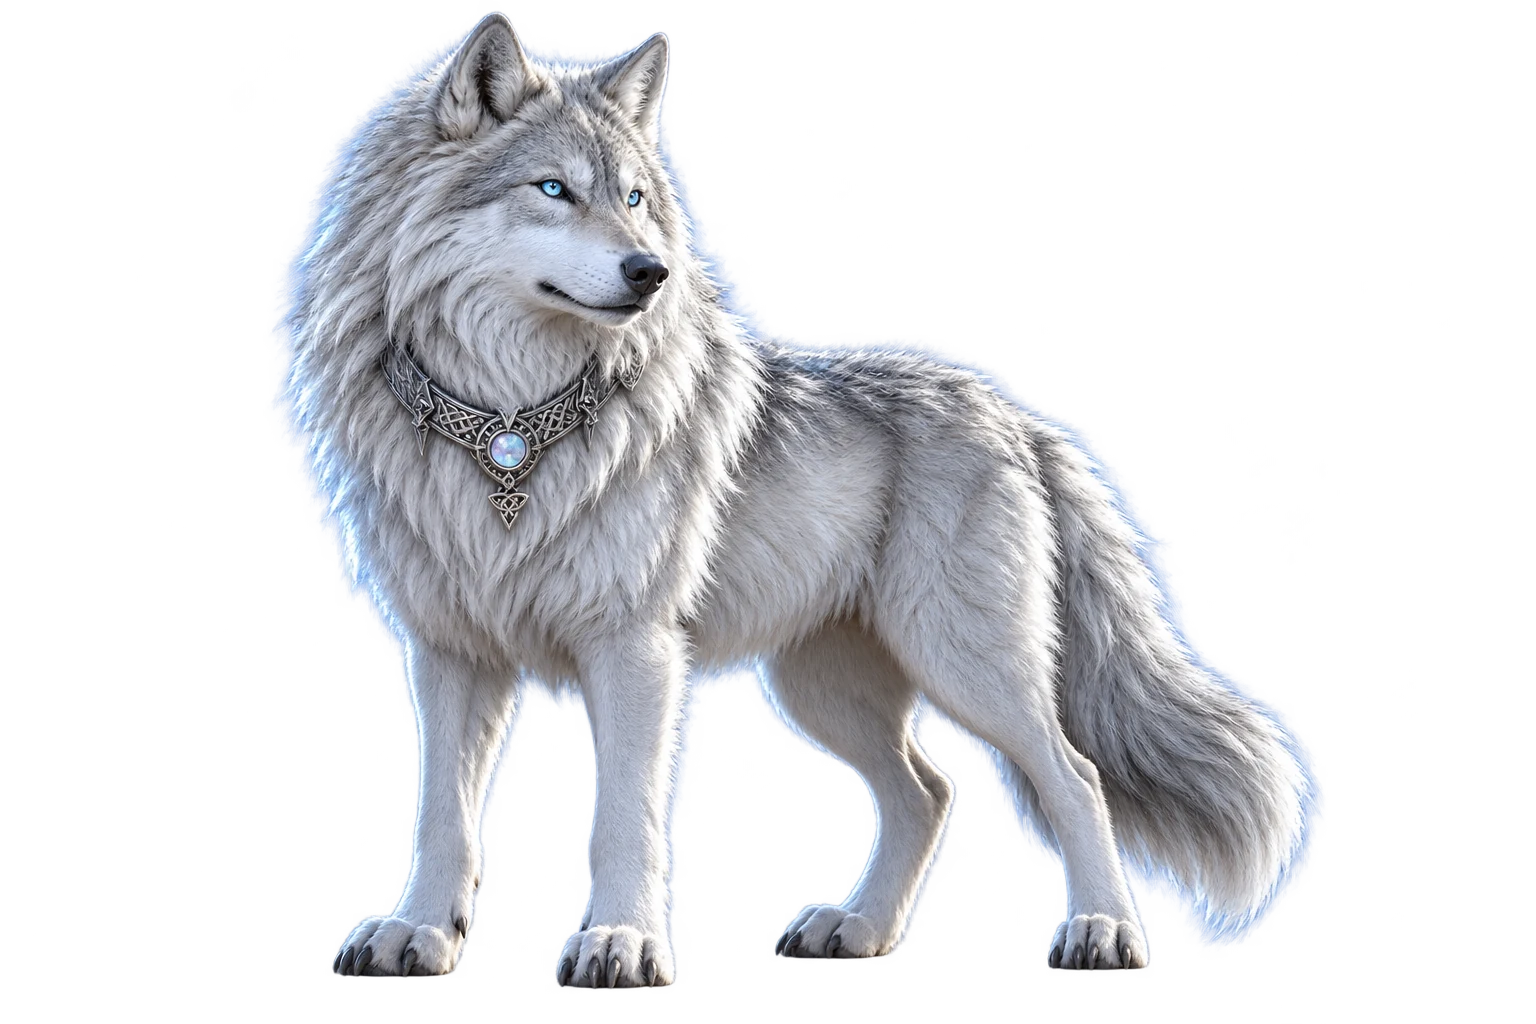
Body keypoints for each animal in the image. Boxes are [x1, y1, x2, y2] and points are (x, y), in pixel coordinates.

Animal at [289, 13, 1311, 987]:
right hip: (825, 691)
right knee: (929, 792)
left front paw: (621, 943)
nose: (651, 272)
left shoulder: (634, 650)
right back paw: (856, 928)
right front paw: (419, 931)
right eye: (553, 190)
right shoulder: (449, 651)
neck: (506, 425)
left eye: (634, 199)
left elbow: (626, 816)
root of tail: (1011, 414)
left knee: (1075, 777)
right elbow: (442, 816)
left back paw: (1101, 932)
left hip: (964, 665)